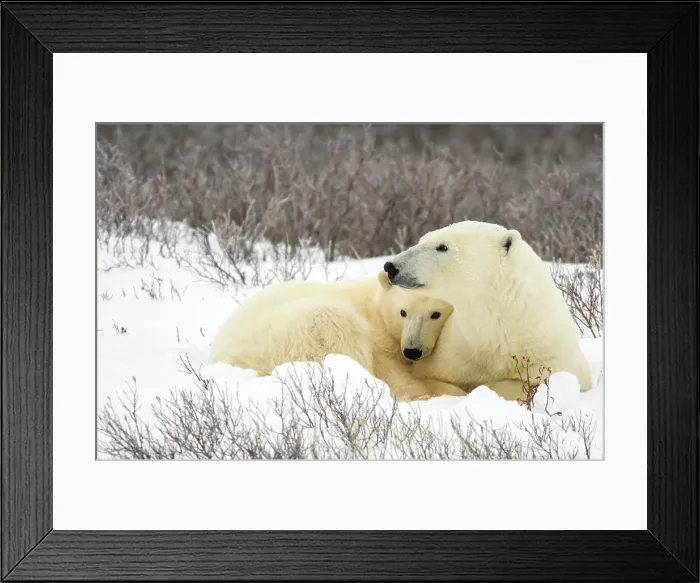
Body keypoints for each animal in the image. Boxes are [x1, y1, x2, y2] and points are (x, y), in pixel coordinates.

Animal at [207, 272, 466, 401]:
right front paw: (434, 390)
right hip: (294, 332)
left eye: (435, 314)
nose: (412, 350)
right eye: (403, 312)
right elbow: (395, 373)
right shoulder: (380, 340)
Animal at [382, 220, 593, 402]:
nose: (390, 266)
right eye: (422, 240)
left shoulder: (552, 357)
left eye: (442, 247)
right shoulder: (455, 353)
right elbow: (430, 377)